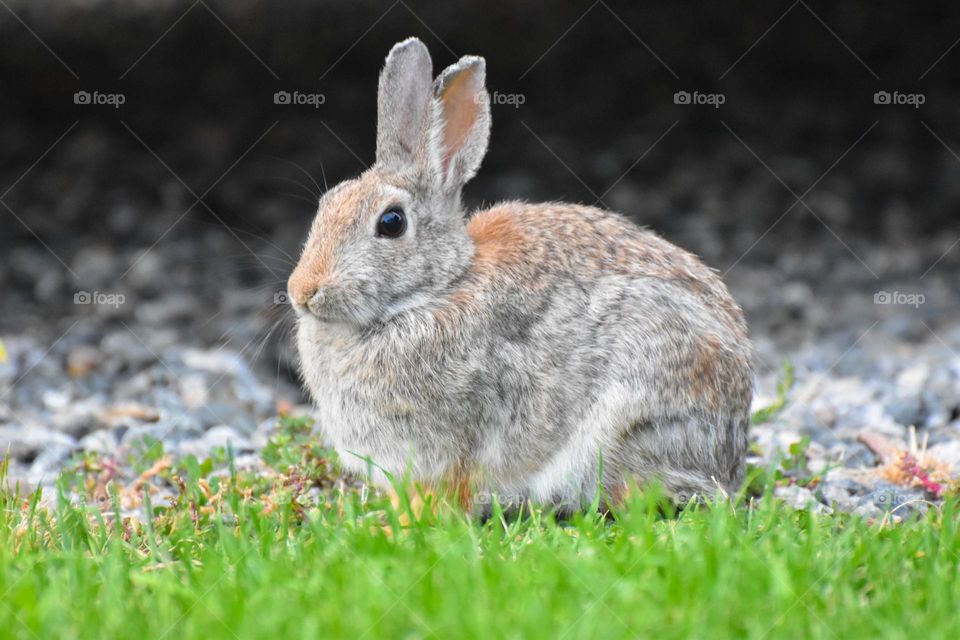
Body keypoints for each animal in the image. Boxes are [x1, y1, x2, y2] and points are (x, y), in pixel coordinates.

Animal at [287, 37, 753, 513]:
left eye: (391, 222)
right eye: (327, 203)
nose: (302, 291)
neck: (437, 290)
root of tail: (730, 451)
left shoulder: (454, 445)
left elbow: (445, 493)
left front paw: (402, 523)